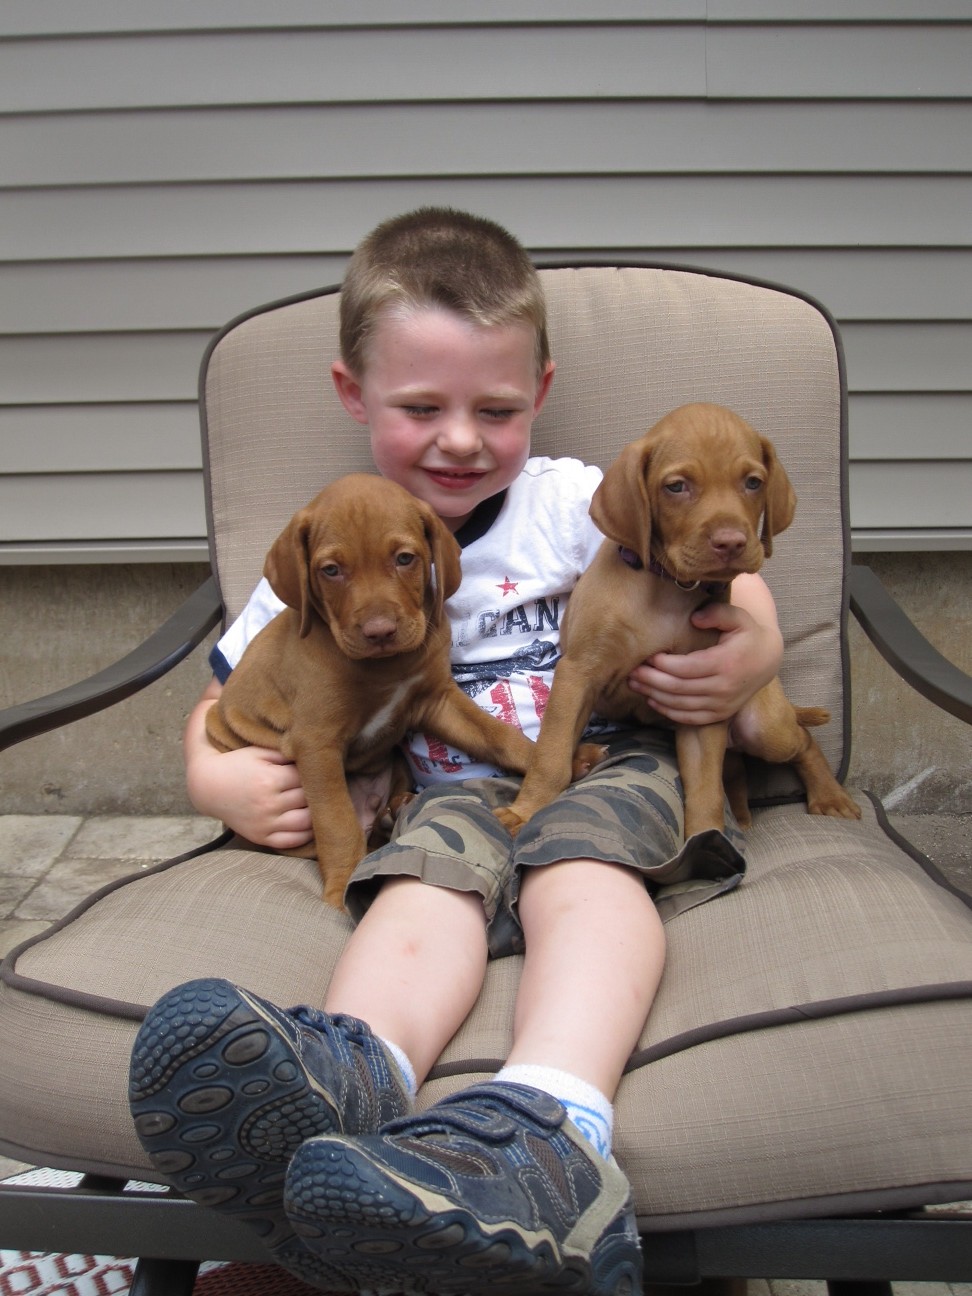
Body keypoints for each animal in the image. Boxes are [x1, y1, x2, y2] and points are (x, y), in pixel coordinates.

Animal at [207, 476, 549, 912]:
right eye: (331, 570)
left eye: (404, 559)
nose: (380, 632)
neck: (387, 667)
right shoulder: (316, 744)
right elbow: (337, 824)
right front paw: (339, 889)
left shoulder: (437, 700)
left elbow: (498, 736)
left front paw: (560, 761)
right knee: (348, 835)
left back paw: (399, 806)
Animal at [497, 409, 865, 844]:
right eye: (676, 486)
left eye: (753, 482)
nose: (731, 542)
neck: (669, 592)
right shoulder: (577, 675)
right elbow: (550, 755)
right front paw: (526, 811)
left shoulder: (702, 700)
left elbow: (704, 788)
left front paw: (706, 840)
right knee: (737, 766)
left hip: (764, 725)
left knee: (801, 742)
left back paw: (829, 796)